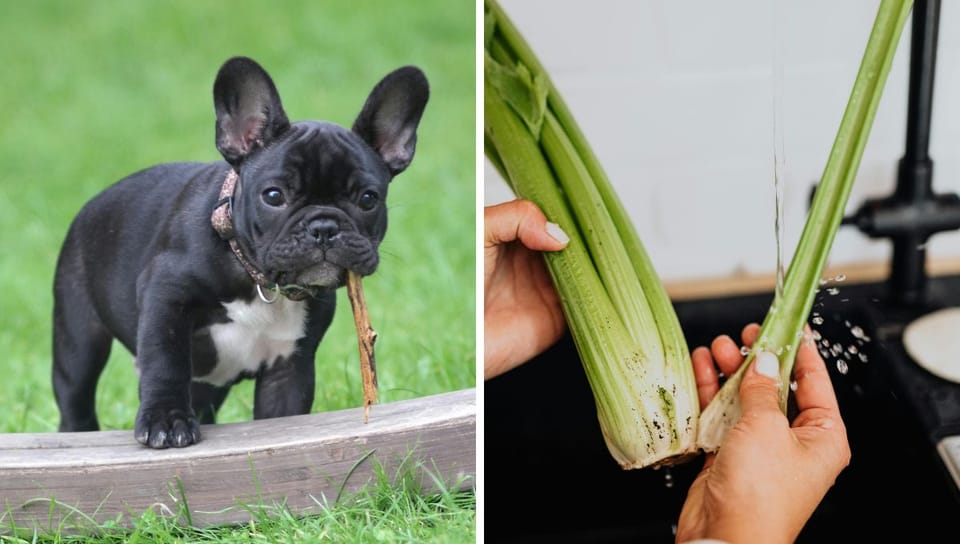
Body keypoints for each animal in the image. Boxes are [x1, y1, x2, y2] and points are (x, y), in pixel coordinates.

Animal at [51, 55, 428, 448]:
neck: (256, 277)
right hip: (78, 338)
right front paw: (165, 420)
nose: (324, 227)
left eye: (368, 199)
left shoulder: (288, 367)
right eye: (274, 195)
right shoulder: (165, 296)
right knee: (76, 395)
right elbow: (165, 361)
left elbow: (285, 414)